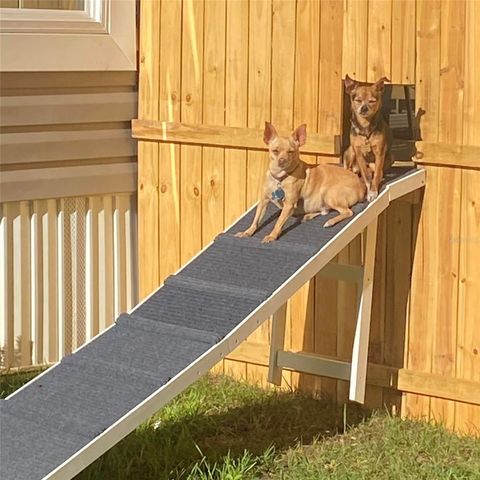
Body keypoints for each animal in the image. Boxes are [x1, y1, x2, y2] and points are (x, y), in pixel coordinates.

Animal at [234, 123, 366, 244]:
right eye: (275, 151)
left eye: (291, 152)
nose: (282, 160)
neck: (280, 178)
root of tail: (361, 186)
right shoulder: (263, 201)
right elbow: (256, 219)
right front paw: (247, 232)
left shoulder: (289, 205)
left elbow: (278, 222)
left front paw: (272, 236)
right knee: (326, 211)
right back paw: (308, 216)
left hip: (328, 193)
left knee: (347, 212)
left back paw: (330, 222)